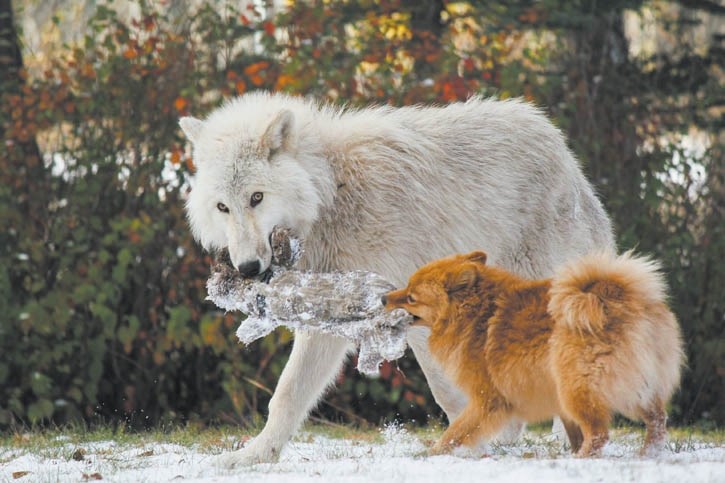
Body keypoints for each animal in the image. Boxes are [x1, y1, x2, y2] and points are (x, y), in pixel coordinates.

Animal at [384, 251, 684, 460]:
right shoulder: (553, 398)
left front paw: (431, 454)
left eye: (411, 297)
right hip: (631, 390)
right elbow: (573, 433)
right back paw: (648, 455)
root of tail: (618, 299)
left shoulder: (487, 400)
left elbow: (455, 432)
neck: (475, 314)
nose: (384, 297)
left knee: (600, 433)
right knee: (657, 420)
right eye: (406, 287)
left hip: (578, 388)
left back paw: (583, 460)